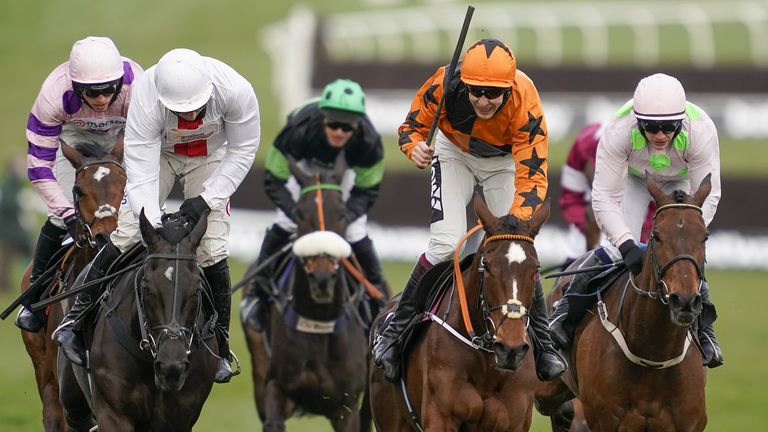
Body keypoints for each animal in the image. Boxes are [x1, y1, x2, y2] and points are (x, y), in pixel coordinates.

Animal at [242, 156, 370, 432]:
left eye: (342, 214)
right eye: (300, 214)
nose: (322, 278)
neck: (320, 322)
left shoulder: (347, 405)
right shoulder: (277, 388)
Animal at [368, 195, 548, 432]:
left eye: (536, 269)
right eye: (486, 265)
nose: (511, 348)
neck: (487, 363)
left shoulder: (513, 423)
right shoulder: (440, 417)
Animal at [536, 176, 712, 432]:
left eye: (705, 235)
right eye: (657, 235)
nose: (684, 300)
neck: (654, 355)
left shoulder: (688, 422)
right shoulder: (604, 420)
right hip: (548, 385)